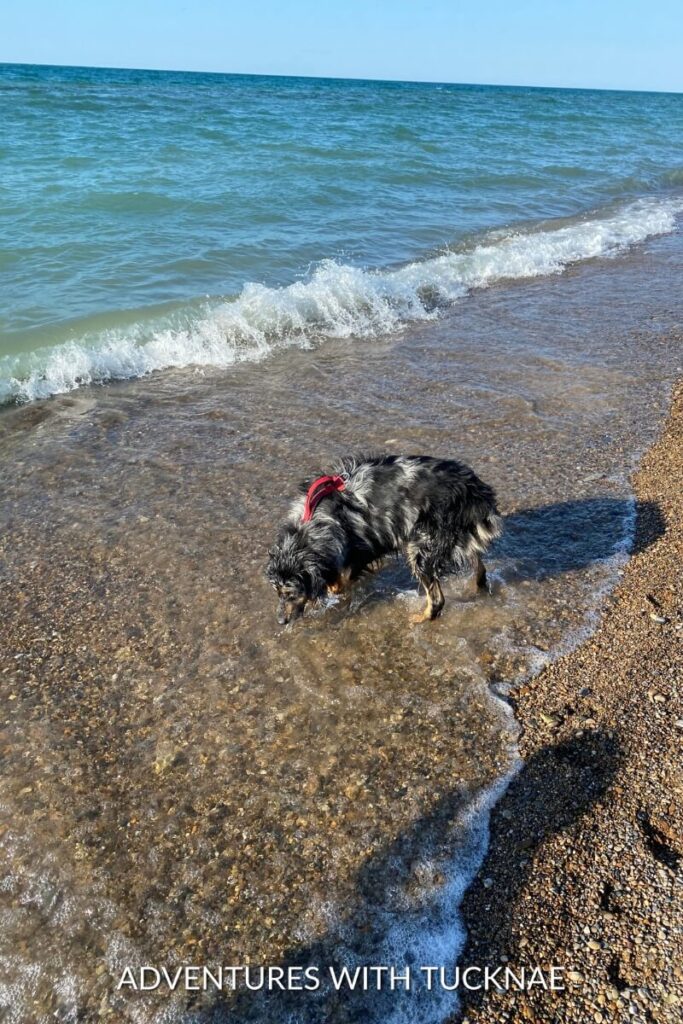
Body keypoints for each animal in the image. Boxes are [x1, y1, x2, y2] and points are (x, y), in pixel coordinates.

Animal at [264, 454, 499, 622]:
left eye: (291, 593)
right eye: (277, 592)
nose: (280, 621)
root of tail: (473, 491)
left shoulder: (355, 554)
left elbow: (337, 582)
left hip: (421, 548)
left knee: (437, 599)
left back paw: (421, 618)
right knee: (479, 568)